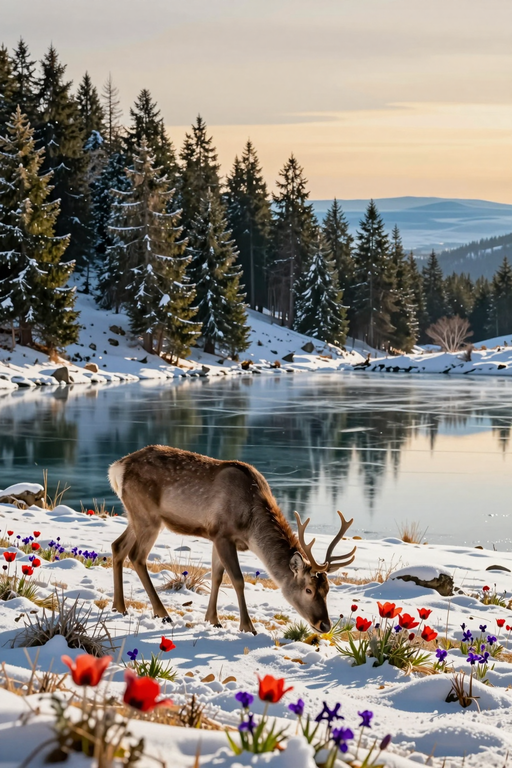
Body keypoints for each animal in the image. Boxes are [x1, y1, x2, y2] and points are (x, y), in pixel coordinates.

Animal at [108, 445, 357, 634]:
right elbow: (237, 579)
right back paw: (162, 613)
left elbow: (217, 576)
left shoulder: (216, 538)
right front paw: (247, 627)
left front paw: (213, 620)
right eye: (308, 590)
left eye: (328, 590)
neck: (250, 527)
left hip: (135, 516)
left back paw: (119, 607)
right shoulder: (223, 534)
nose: (324, 625)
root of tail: (117, 468)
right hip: (148, 517)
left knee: (118, 546)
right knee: (137, 555)